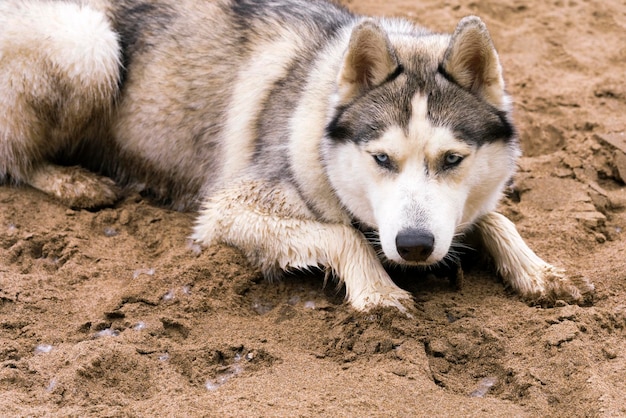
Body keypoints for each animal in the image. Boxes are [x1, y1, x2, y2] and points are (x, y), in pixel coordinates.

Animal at [2, 0, 592, 310]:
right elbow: (342, 235)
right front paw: (377, 289)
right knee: (14, 158)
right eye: (381, 159)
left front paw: (537, 270)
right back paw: (75, 183)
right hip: (89, 42)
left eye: (452, 160)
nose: (415, 246)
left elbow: (496, 218)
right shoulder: (226, 211)